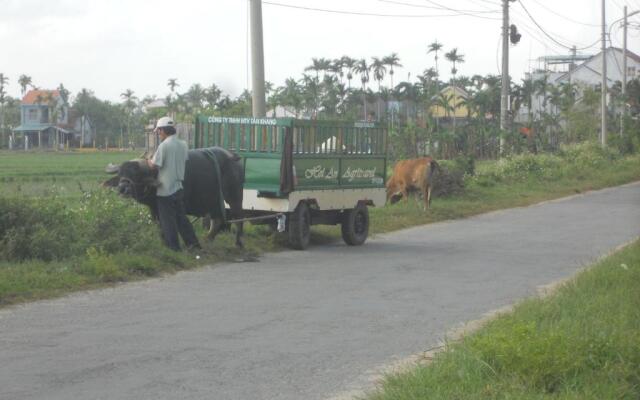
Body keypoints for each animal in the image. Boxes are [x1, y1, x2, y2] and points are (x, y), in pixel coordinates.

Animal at [105, 147, 245, 247]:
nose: (123, 188)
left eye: (136, 174)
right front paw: (164, 244)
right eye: (120, 173)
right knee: (217, 219)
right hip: (214, 199)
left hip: (234, 196)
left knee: (238, 217)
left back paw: (238, 243)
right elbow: (160, 226)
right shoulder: (154, 208)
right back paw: (208, 239)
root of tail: (233, 157)